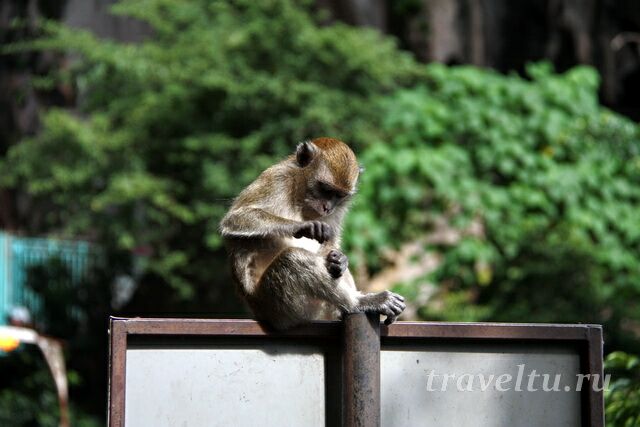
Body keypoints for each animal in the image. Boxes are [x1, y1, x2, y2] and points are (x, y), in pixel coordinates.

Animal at [220, 137, 404, 332]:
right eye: (325, 189)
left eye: (339, 195)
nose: (327, 207)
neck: (299, 193)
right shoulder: (276, 178)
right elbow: (236, 218)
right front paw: (305, 226)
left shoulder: (339, 208)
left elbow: (331, 243)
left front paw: (339, 260)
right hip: (277, 304)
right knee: (293, 259)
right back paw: (360, 303)